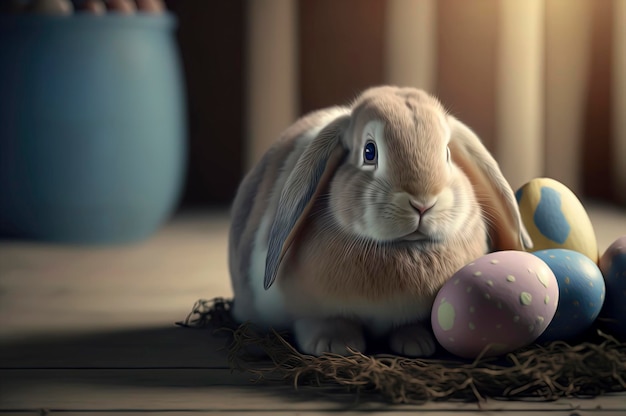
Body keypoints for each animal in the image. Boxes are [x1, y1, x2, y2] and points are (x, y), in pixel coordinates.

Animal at [227, 85, 528, 358]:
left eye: (447, 154)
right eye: (369, 152)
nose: (423, 203)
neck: (403, 250)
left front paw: (418, 344)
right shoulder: (310, 311)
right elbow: (322, 321)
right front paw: (335, 345)